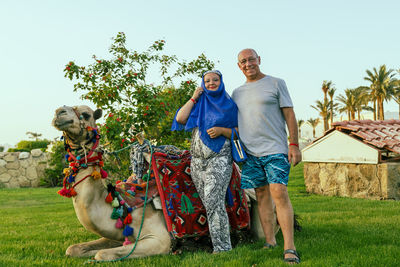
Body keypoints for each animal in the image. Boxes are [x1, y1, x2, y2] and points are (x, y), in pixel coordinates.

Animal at [52, 104, 278, 262]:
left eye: (85, 114)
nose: (58, 113)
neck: (123, 204)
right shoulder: (120, 235)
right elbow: (73, 249)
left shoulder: (159, 240)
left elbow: (101, 255)